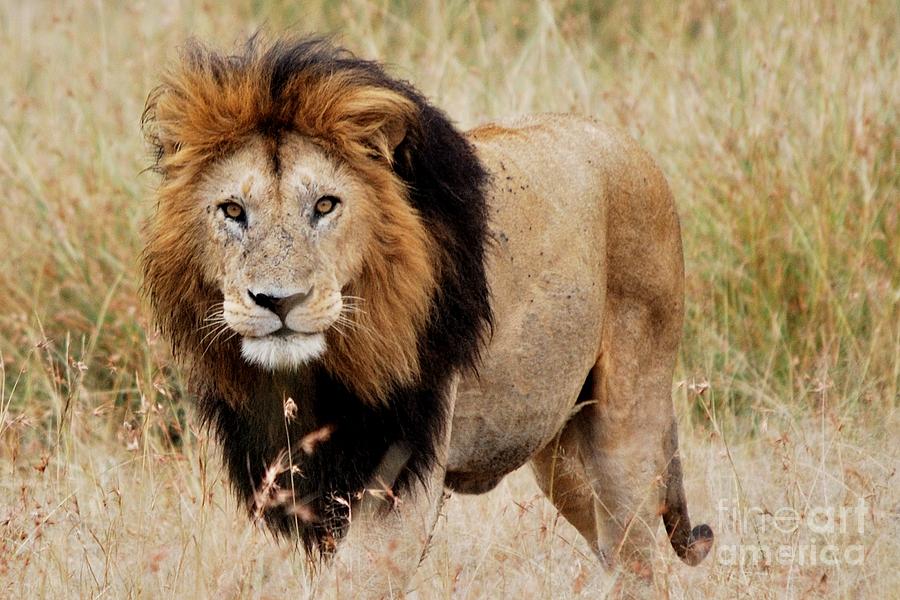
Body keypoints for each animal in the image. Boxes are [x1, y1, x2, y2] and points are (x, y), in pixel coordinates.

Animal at [141, 37, 713, 597]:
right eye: (233, 211)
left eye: (325, 205)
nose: (279, 301)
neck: (314, 374)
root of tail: (627, 143)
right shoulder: (300, 482)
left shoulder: (401, 474)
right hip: (561, 451)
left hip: (627, 421)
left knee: (638, 558)